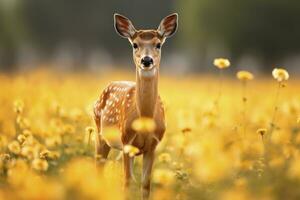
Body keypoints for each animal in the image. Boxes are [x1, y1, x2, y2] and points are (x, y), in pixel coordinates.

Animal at [94, 13, 178, 199]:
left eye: (158, 44)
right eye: (135, 44)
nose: (146, 60)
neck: (144, 121)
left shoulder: (153, 145)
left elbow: (145, 184)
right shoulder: (127, 141)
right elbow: (127, 182)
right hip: (100, 134)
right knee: (98, 167)